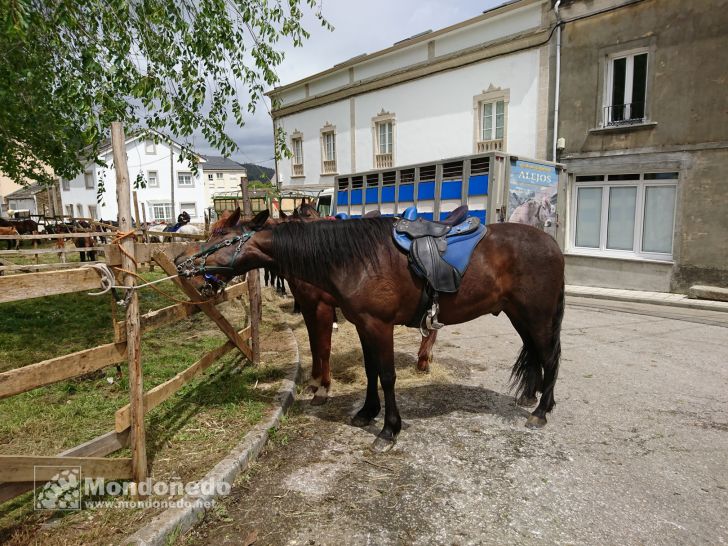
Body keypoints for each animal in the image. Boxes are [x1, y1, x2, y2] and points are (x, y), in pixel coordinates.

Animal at [176, 206, 564, 448]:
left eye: (221, 236)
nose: (182, 264)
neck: (355, 258)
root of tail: (551, 244)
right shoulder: (363, 324)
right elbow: (370, 370)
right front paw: (366, 413)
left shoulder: (379, 326)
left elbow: (387, 375)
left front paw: (389, 429)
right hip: (519, 315)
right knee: (536, 353)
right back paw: (530, 397)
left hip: (538, 315)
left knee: (550, 357)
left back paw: (541, 412)